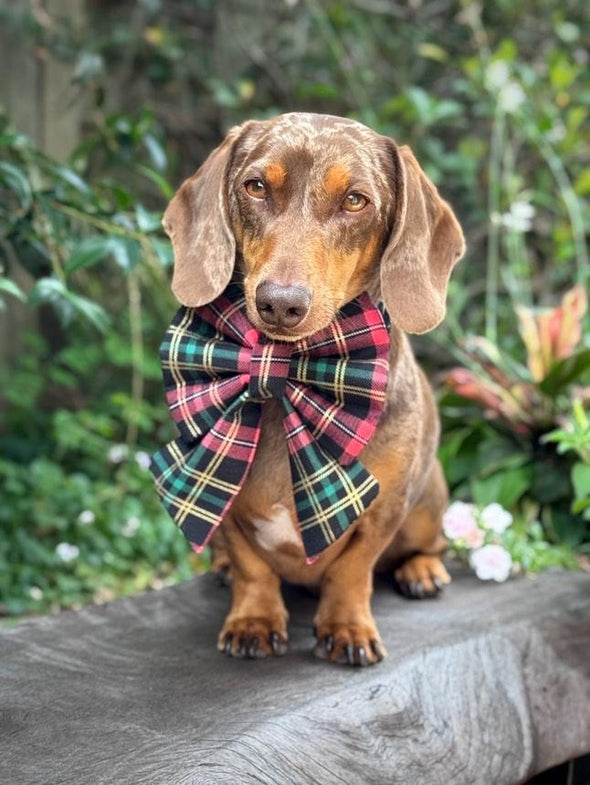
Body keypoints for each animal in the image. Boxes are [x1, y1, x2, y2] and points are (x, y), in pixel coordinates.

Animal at [163, 113, 468, 664]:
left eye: (355, 200)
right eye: (256, 187)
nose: (280, 303)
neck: (291, 373)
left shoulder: (385, 509)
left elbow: (353, 569)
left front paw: (346, 627)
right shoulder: (225, 507)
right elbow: (252, 567)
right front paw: (255, 618)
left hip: (427, 500)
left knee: (429, 544)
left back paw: (423, 569)